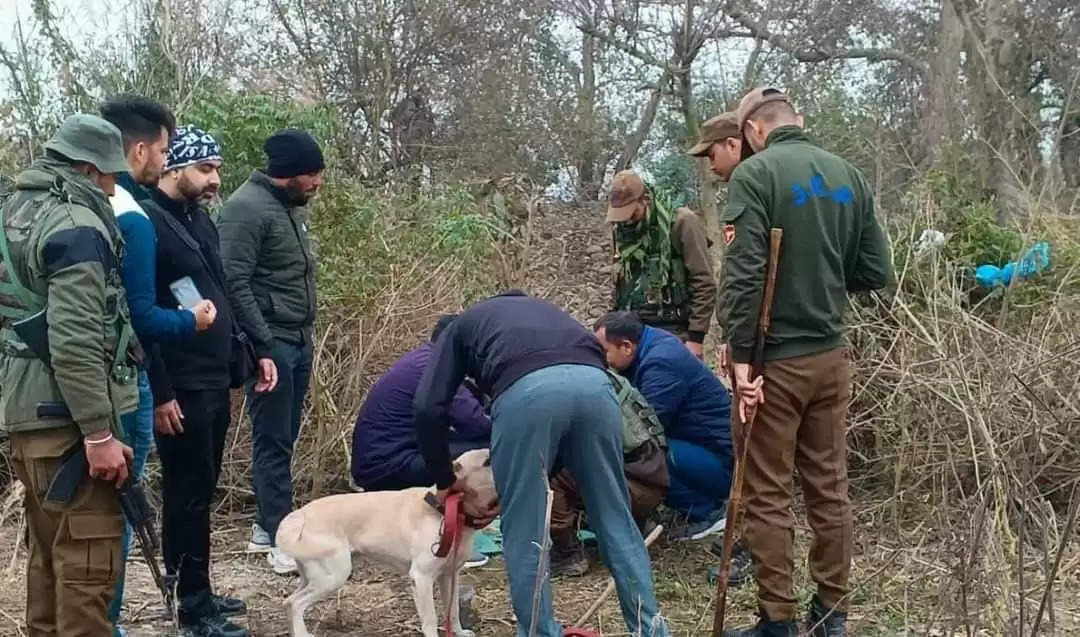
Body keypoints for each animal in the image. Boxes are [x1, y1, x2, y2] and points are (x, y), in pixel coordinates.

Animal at [276, 449, 498, 637]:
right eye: (487, 461)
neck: (445, 509)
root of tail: (301, 513)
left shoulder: (449, 576)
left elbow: (453, 611)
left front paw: (459, 633)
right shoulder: (421, 578)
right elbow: (430, 620)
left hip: (312, 576)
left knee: (288, 602)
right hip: (332, 577)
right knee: (296, 604)